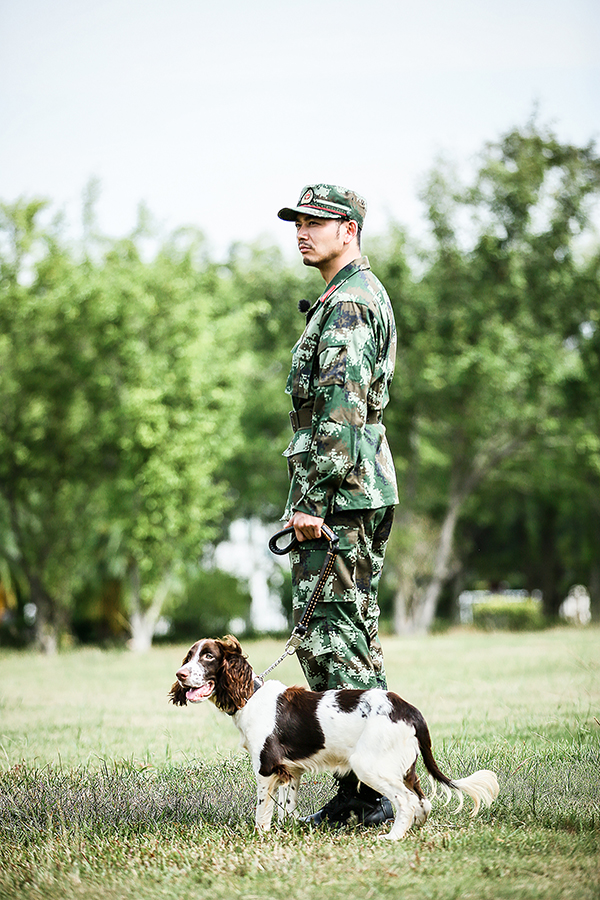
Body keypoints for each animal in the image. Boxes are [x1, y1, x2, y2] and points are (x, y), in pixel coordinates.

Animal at [169, 636, 496, 840]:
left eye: (208, 656)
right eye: (189, 656)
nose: (180, 674)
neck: (249, 695)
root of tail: (408, 709)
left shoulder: (266, 766)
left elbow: (262, 809)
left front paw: (260, 834)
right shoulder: (291, 771)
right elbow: (287, 808)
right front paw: (291, 830)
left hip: (369, 764)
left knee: (405, 800)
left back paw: (392, 837)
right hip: (404, 766)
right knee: (421, 800)